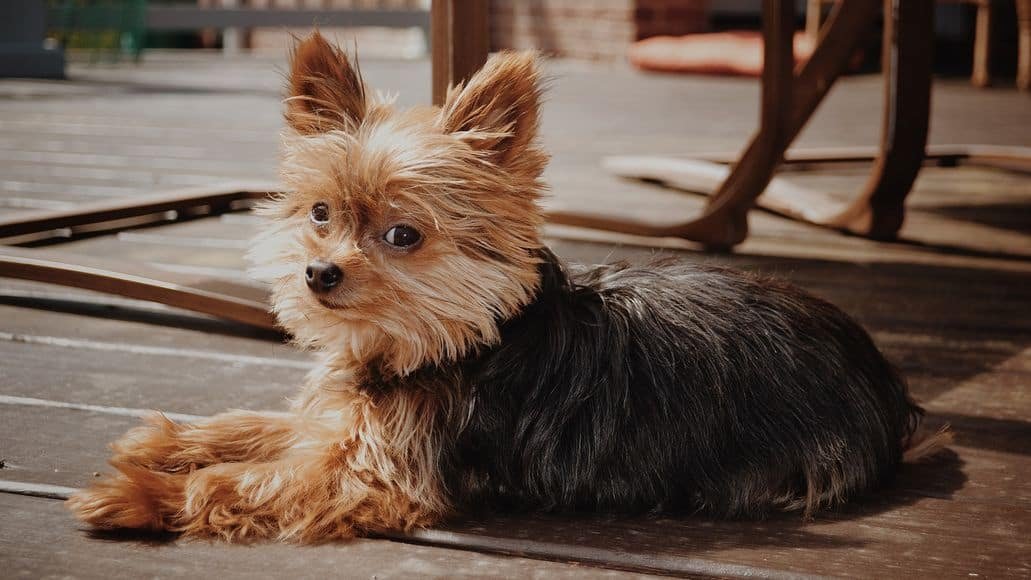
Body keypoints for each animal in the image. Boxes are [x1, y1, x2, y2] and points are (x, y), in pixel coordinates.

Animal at [68, 30, 944, 539]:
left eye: (402, 235)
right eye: (319, 213)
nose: (318, 273)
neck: (452, 342)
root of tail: (877, 372)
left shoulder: (373, 473)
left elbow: (252, 480)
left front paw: (137, 496)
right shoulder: (346, 420)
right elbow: (259, 428)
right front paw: (167, 443)